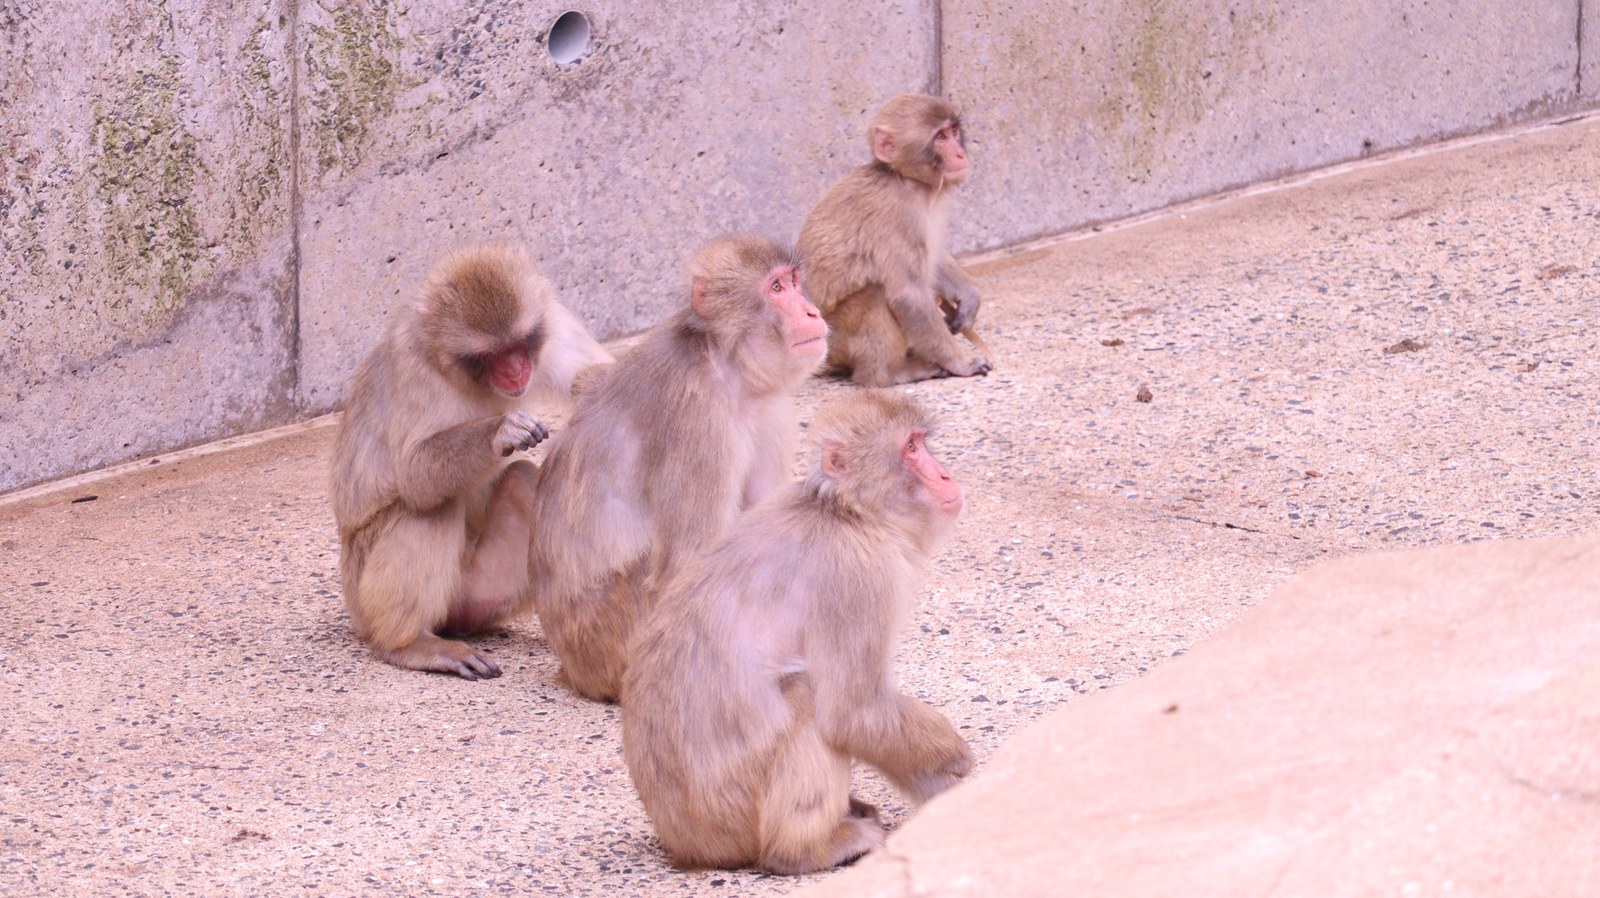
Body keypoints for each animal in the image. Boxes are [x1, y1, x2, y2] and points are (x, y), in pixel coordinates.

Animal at [330, 246, 612, 680]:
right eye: (491, 355)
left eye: (520, 343)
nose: (516, 370)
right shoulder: (412, 365)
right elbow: (413, 473)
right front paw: (503, 430)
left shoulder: (552, 321)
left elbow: (596, 376)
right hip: (364, 594)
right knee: (432, 507)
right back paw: (410, 644)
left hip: (482, 594)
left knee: (522, 480)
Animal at [527, 235, 829, 703]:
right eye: (776, 288)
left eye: (795, 282)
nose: (812, 311)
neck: (724, 360)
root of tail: (574, 671)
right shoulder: (698, 421)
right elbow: (689, 559)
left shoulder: (770, 409)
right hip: (611, 639)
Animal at [620, 390, 973, 874]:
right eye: (911, 449)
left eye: (921, 442)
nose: (944, 474)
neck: (847, 512)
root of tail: (686, 844)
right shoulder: (856, 578)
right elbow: (855, 713)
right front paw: (957, 760)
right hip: (731, 813)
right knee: (809, 699)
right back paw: (804, 851)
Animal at [797, 92, 992, 387]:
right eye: (940, 137)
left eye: (953, 132)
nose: (960, 154)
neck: (905, 179)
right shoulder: (895, 213)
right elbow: (907, 293)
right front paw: (960, 363)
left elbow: (933, 257)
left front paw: (969, 297)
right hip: (836, 341)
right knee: (876, 293)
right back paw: (886, 374)